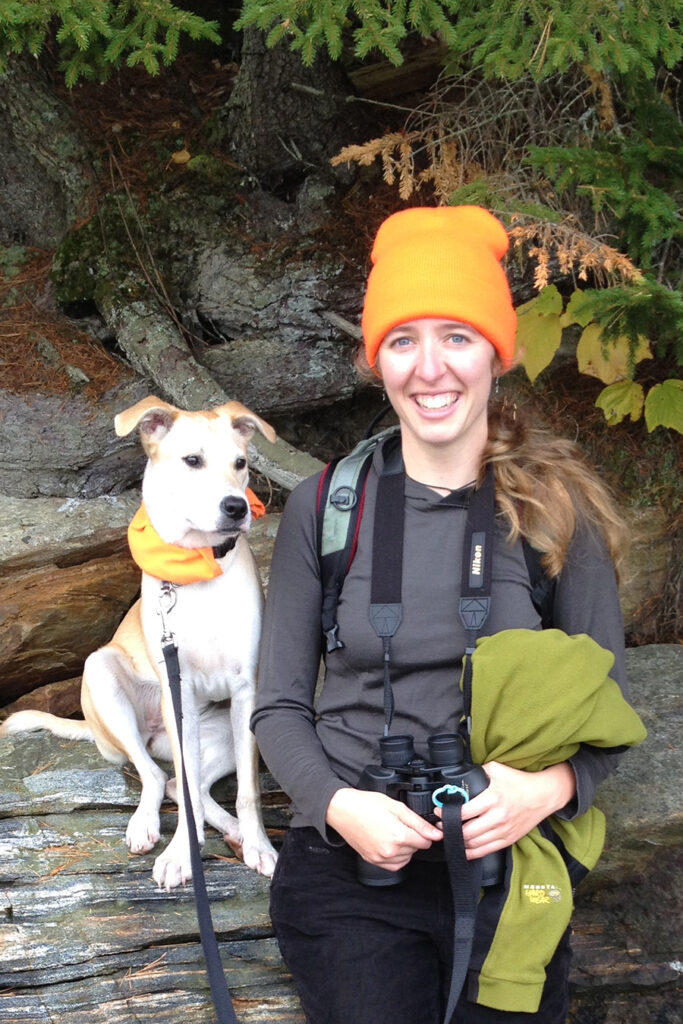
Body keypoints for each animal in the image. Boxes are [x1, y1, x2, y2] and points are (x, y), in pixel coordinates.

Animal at [1, 395, 278, 892]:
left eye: (241, 463)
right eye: (192, 461)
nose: (236, 508)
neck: (198, 570)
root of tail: (151, 734)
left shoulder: (249, 690)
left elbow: (247, 791)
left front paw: (259, 845)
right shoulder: (178, 690)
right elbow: (184, 793)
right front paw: (181, 855)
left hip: (221, 735)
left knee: (179, 784)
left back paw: (235, 834)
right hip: (104, 679)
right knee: (156, 777)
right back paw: (148, 824)